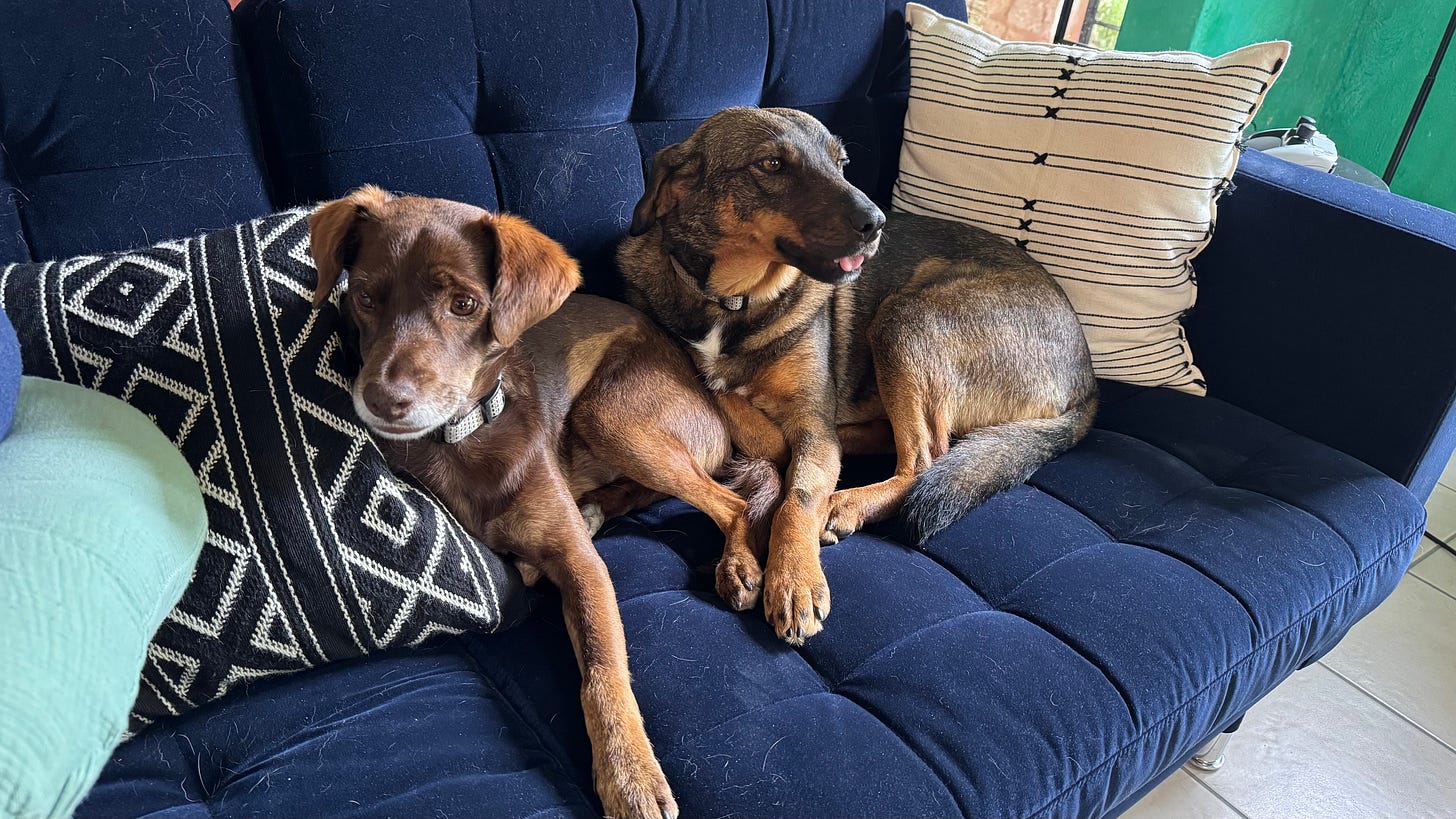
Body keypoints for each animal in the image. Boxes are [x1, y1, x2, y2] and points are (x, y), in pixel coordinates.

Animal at [311, 186, 780, 816]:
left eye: (464, 304)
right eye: (363, 296)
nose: (383, 399)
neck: (464, 439)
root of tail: (709, 395)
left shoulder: (582, 563)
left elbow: (603, 670)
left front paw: (630, 776)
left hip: (611, 413)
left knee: (728, 502)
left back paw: (735, 565)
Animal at [614, 107, 1094, 644]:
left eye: (841, 163)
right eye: (771, 164)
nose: (876, 223)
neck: (735, 301)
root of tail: (1087, 380)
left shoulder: (810, 424)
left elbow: (797, 497)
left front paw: (794, 579)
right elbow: (717, 395)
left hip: (903, 318)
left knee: (925, 458)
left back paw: (846, 505)